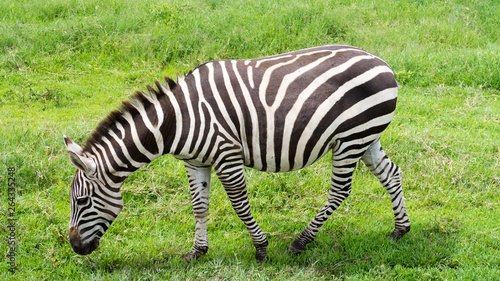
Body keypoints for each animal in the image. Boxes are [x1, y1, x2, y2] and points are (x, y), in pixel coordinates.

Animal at [65, 44, 410, 262]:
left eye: (82, 201)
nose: (75, 247)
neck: (175, 121)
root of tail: (381, 62)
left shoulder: (226, 154)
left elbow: (239, 204)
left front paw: (261, 249)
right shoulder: (195, 162)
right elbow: (199, 206)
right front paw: (197, 252)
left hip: (351, 138)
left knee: (339, 191)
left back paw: (301, 241)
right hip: (366, 136)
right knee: (391, 174)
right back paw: (400, 230)